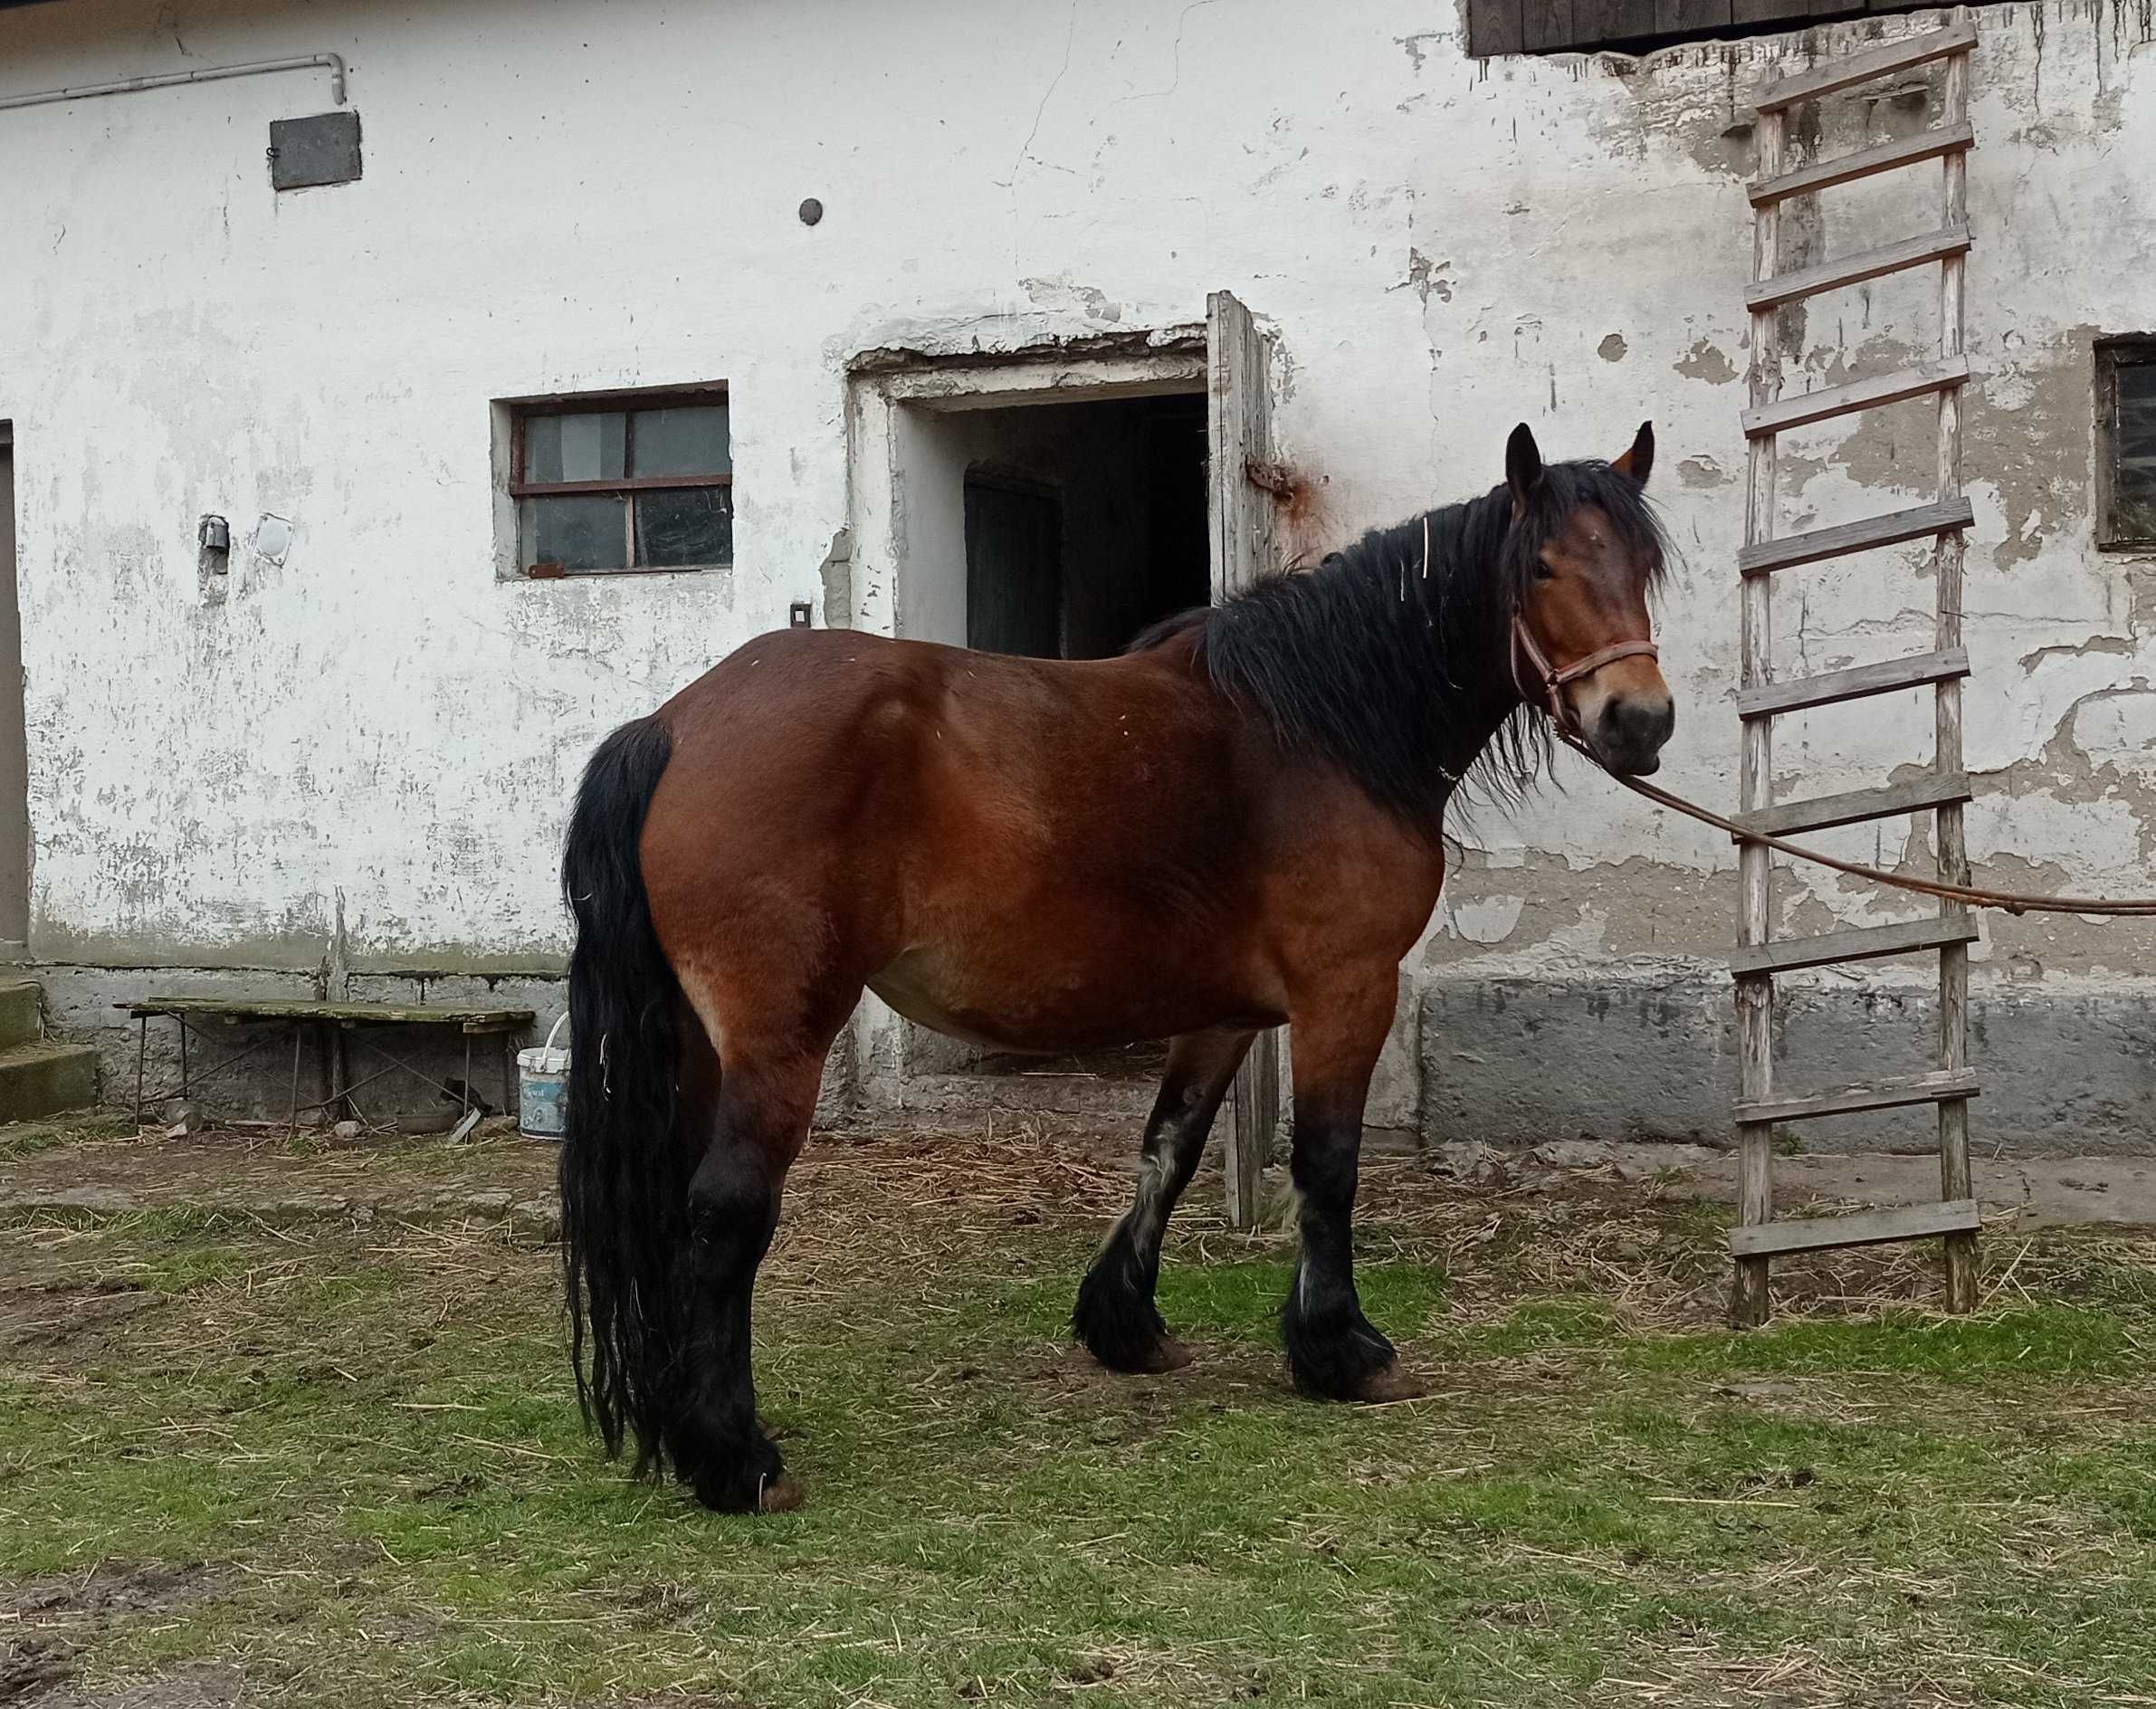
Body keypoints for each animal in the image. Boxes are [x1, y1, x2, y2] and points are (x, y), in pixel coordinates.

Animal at [556, 420, 1664, 1517]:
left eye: (1643, 567)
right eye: (1542, 567)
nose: (1641, 721)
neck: (1322, 727)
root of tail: (675, 725)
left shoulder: (1226, 1013)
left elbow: (1168, 1148)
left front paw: (1125, 1322)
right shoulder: (1346, 990)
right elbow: (1328, 1166)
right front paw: (1342, 1349)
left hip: (698, 1044)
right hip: (778, 1042)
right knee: (725, 1213)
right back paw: (735, 1457)